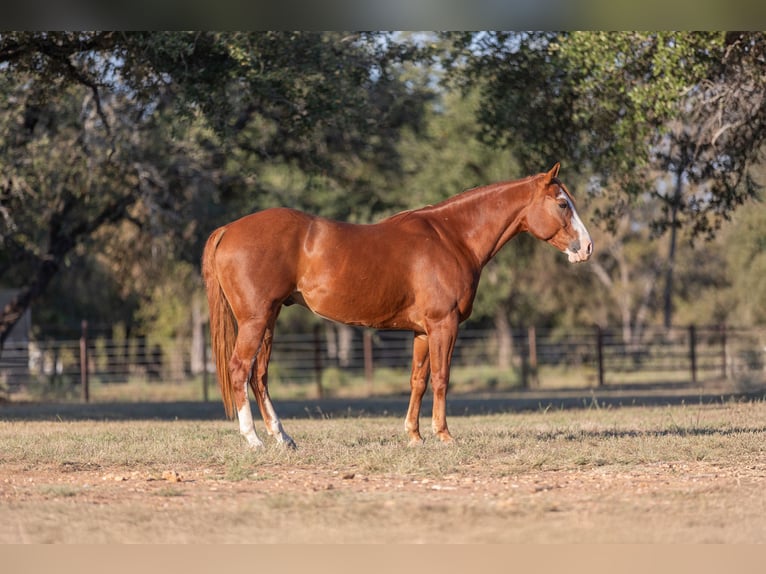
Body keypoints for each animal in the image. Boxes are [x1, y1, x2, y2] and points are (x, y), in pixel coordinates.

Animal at [201, 162, 592, 450]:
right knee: (239, 370)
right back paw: (253, 440)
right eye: (562, 203)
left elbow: (418, 380)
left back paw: (283, 437)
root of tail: (229, 229)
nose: (587, 248)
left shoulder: (423, 332)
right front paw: (444, 435)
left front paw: (414, 435)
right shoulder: (444, 324)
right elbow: (442, 378)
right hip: (255, 320)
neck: (452, 238)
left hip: (269, 320)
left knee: (259, 375)